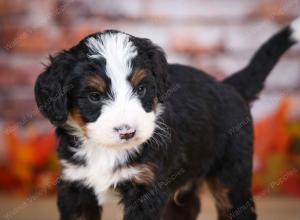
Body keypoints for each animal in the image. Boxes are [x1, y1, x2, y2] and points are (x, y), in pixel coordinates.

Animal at [35, 17, 300, 220]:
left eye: (142, 89)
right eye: (94, 96)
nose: (127, 132)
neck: (106, 151)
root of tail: (229, 86)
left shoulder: (146, 189)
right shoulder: (76, 185)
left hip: (232, 171)